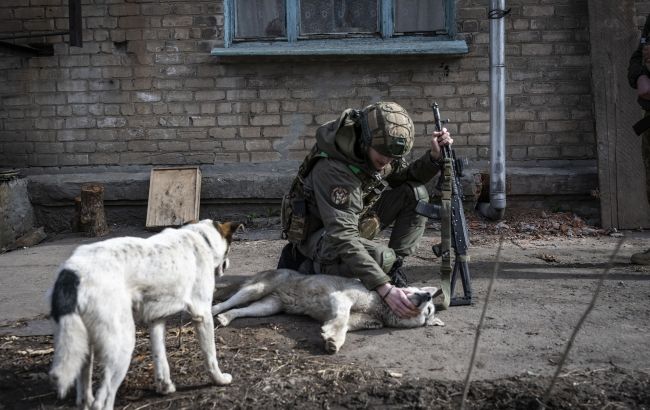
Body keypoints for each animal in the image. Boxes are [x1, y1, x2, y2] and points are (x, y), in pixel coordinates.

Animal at [48, 219, 240, 410]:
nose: (229, 264)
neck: (201, 237)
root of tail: (72, 273)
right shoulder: (202, 315)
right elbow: (211, 356)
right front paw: (220, 380)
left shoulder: (156, 320)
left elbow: (160, 357)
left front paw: (165, 386)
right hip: (123, 344)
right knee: (103, 400)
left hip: (83, 346)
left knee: (84, 393)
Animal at [210, 270, 442, 354]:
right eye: (429, 306)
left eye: (428, 312)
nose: (427, 296)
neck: (381, 307)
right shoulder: (342, 298)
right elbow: (341, 318)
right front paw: (333, 336)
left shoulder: (361, 320)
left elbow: (345, 326)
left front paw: (333, 339)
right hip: (256, 289)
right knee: (228, 301)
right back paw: (213, 310)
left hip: (267, 308)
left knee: (240, 310)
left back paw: (226, 318)